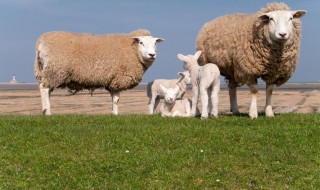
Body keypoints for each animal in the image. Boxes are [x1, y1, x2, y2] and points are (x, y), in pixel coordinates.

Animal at [35, 29, 165, 115]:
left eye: (155, 43)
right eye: (141, 42)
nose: (152, 54)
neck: (133, 51)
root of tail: (40, 43)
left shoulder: (113, 80)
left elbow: (114, 98)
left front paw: (113, 114)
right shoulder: (118, 78)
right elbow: (116, 99)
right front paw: (116, 114)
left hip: (48, 71)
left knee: (47, 90)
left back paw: (46, 110)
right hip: (55, 70)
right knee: (44, 88)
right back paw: (47, 111)